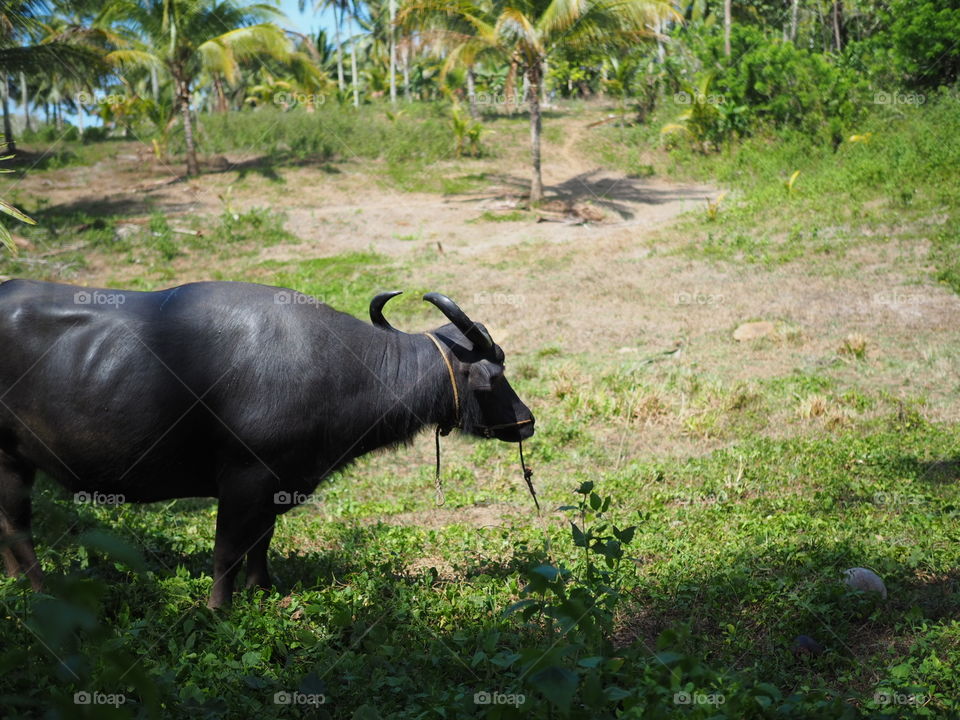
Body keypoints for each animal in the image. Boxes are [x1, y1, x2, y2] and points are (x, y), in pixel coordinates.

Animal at [0, 278, 532, 604]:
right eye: (493, 373)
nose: (526, 423)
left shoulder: (276, 483)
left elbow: (262, 541)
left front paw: (264, 589)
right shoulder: (243, 480)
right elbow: (227, 551)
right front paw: (219, 609)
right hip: (10, 461)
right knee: (17, 528)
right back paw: (39, 591)